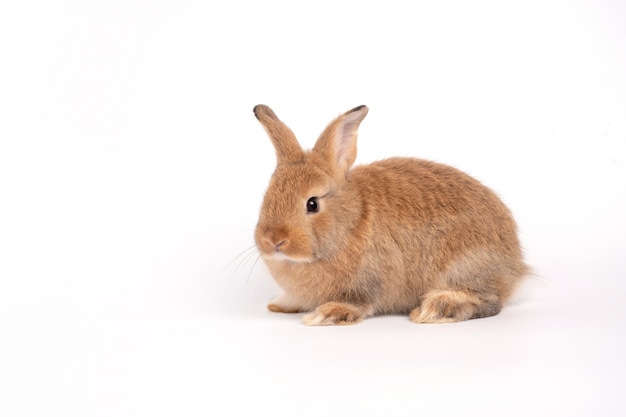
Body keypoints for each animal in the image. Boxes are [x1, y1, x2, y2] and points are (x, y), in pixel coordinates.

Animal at [251, 104, 524, 324]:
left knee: (489, 302)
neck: (351, 223)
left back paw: (435, 309)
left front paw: (325, 315)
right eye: (267, 196)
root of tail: (516, 263)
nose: (273, 241)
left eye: (312, 204)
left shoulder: (367, 283)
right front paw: (280, 302)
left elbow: (356, 303)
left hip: (465, 266)